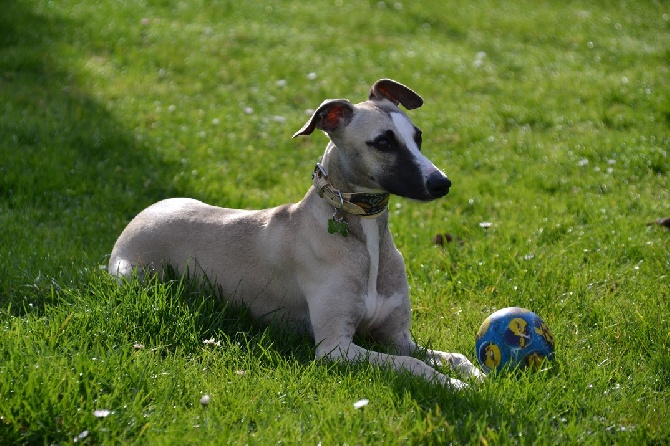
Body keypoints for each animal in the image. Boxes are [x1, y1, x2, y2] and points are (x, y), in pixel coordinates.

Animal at [111, 79, 488, 386]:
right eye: (383, 142)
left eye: (417, 137)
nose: (442, 183)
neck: (361, 233)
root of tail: (140, 216)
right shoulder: (336, 348)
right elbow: (413, 365)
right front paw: (455, 385)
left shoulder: (398, 337)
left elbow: (451, 356)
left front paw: (479, 374)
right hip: (135, 276)